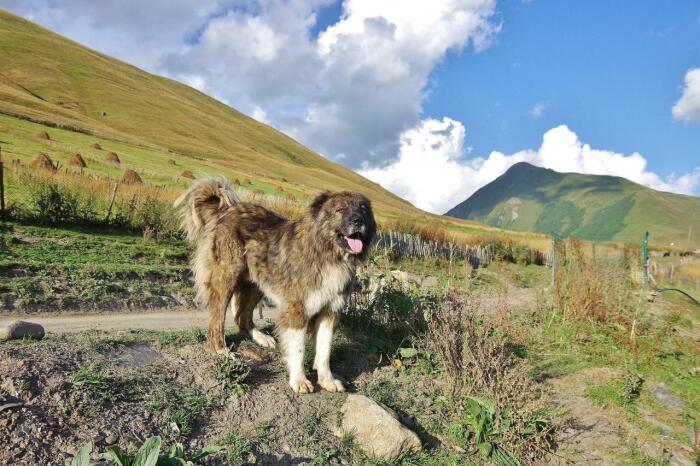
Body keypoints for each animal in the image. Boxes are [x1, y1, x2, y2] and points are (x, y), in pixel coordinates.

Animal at [174, 178, 378, 394]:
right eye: (340, 209)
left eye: (363, 209)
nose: (358, 221)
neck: (329, 254)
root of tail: (227, 210)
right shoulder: (297, 309)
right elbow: (298, 348)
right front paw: (299, 380)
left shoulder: (329, 311)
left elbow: (324, 351)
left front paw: (327, 380)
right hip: (227, 277)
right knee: (217, 320)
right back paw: (222, 351)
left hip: (257, 283)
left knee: (241, 316)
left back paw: (260, 338)